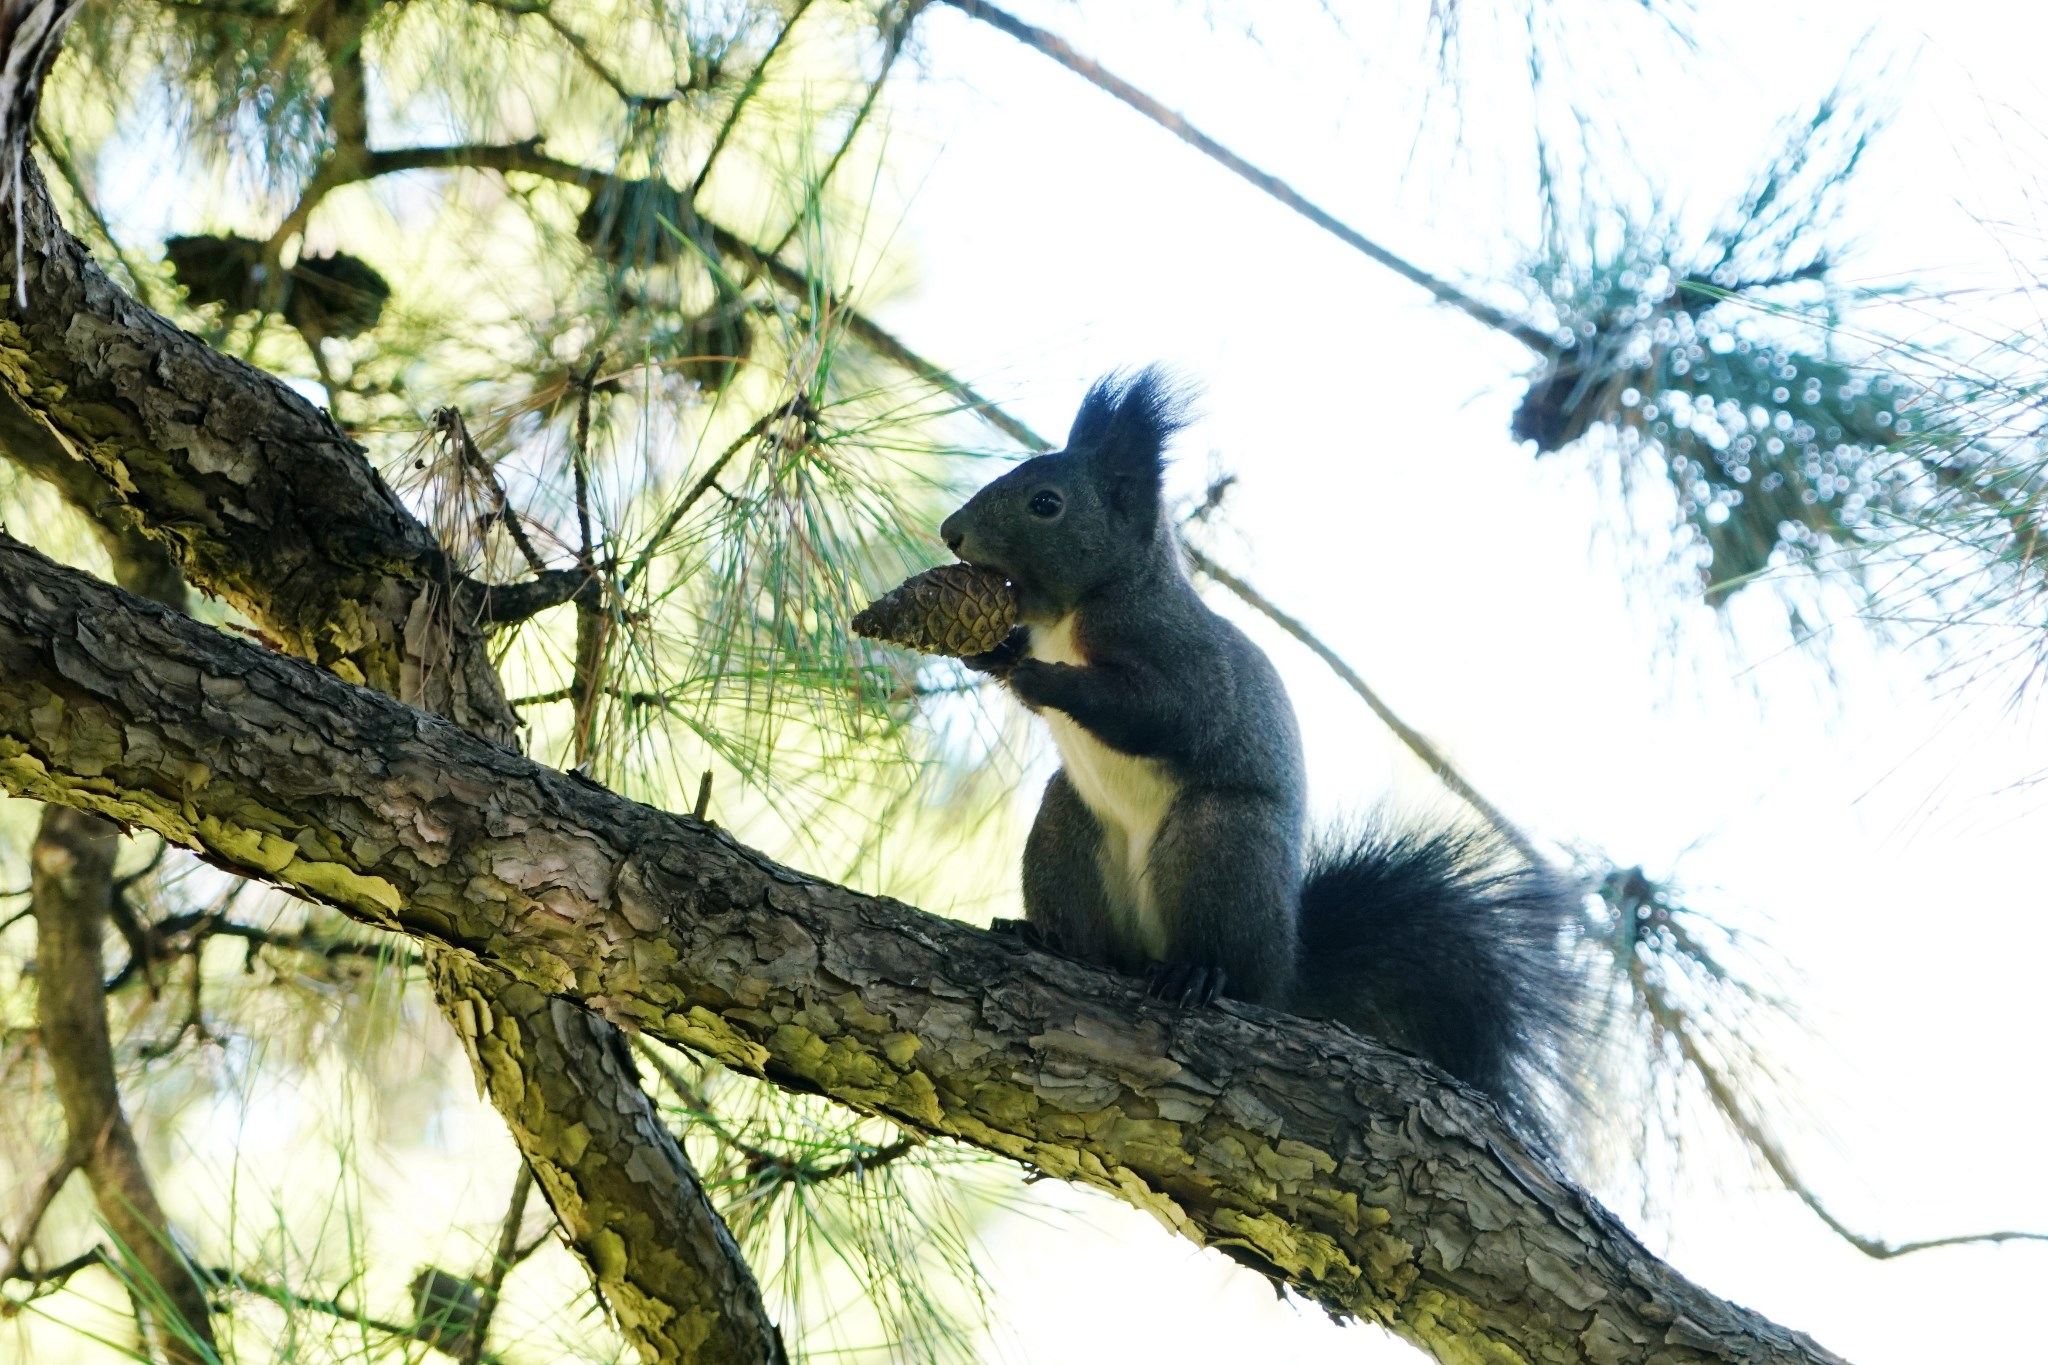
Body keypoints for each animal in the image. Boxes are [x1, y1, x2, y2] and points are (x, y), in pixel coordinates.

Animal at [942, 366, 1581, 1129]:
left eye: (1047, 503)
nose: (950, 532)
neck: (1069, 616)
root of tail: (1285, 972)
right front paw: (989, 651)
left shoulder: (1179, 656)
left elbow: (1164, 713)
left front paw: (1046, 678)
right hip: (1065, 830)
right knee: (1095, 939)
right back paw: (1048, 939)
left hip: (1219, 843)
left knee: (1228, 961)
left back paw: (1197, 973)